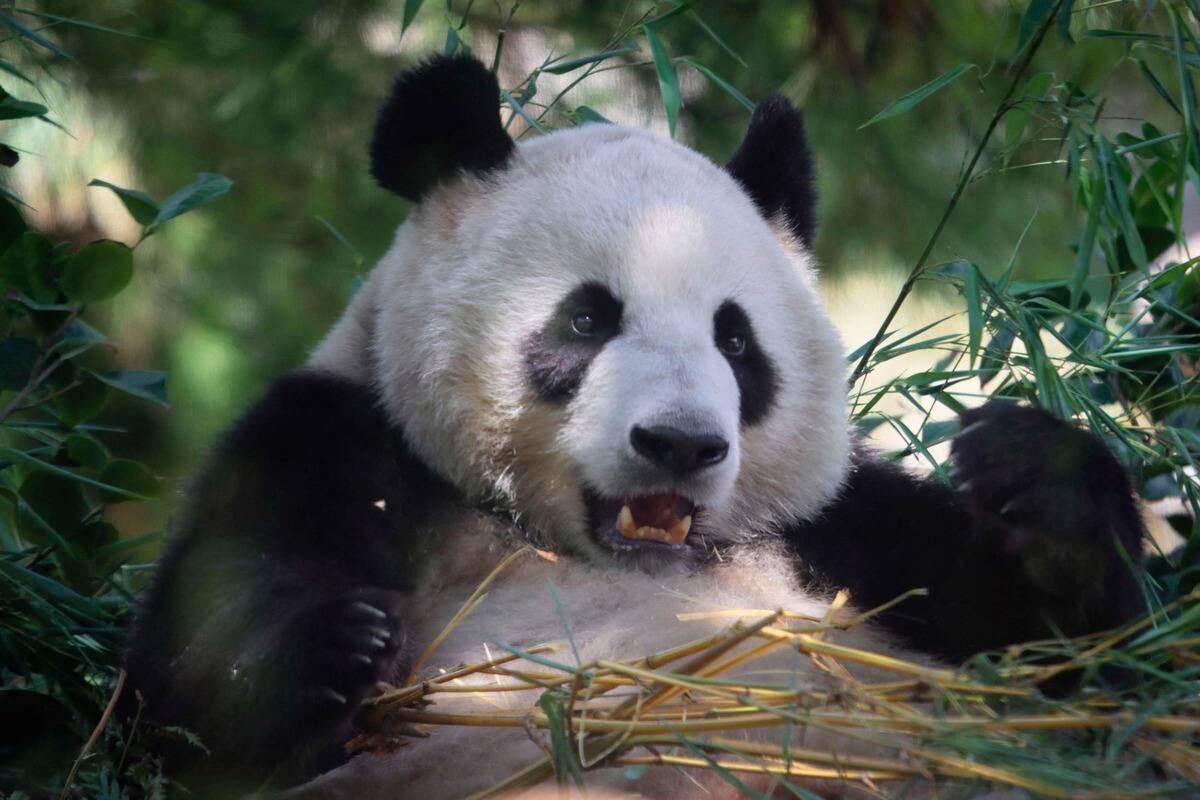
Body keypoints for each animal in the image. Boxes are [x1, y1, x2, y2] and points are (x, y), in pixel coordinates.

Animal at [124, 54, 1146, 798]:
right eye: (587, 320)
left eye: (735, 339)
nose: (681, 445)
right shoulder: (336, 442)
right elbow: (178, 717)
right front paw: (339, 649)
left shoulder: (837, 529)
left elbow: (1091, 675)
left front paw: (1037, 484)